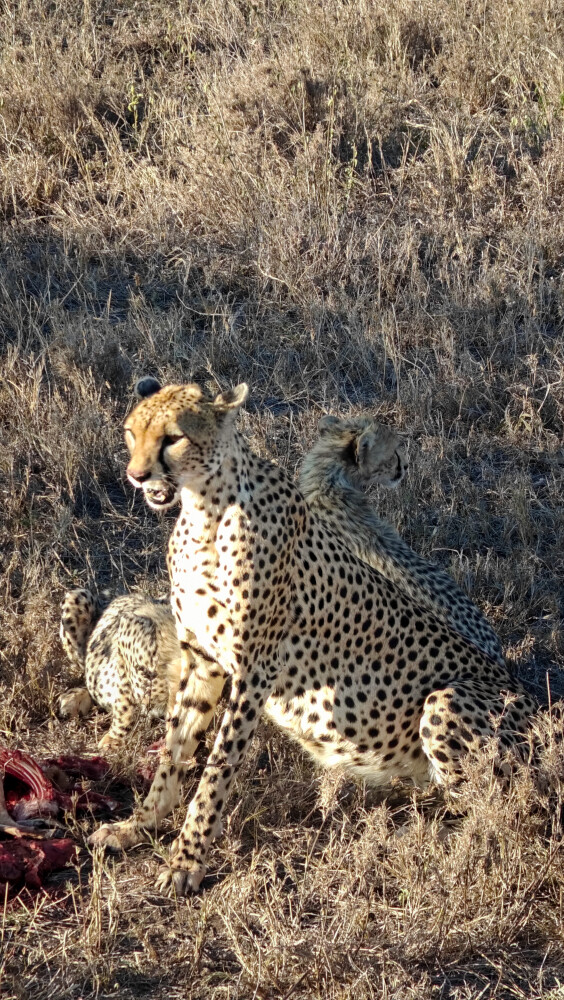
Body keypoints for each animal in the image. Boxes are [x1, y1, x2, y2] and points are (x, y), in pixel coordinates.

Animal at [59, 587, 181, 748]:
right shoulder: (125, 637)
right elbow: (126, 707)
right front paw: (113, 740)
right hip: (77, 596)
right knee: (84, 670)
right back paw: (74, 698)